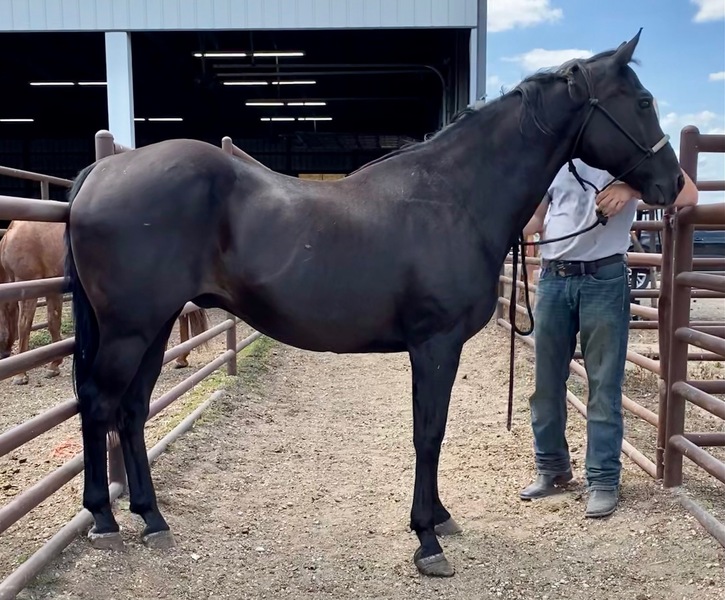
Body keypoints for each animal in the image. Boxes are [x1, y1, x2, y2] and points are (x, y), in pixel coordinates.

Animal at [0, 221, 208, 385]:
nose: (4, 354)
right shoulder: (51, 286)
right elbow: (53, 322)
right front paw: (54, 364)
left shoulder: (27, 283)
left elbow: (24, 326)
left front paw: (21, 374)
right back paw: (181, 358)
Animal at [64, 31, 684, 577]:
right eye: (643, 101)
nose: (673, 183)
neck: (455, 197)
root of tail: (105, 168)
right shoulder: (434, 345)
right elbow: (428, 434)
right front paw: (428, 540)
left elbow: (430, 433)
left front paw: (439, 519)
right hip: (130, 329)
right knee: (98, 404)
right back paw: (104, 520)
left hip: (156, 326)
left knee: (132, 410)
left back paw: (151, 518)